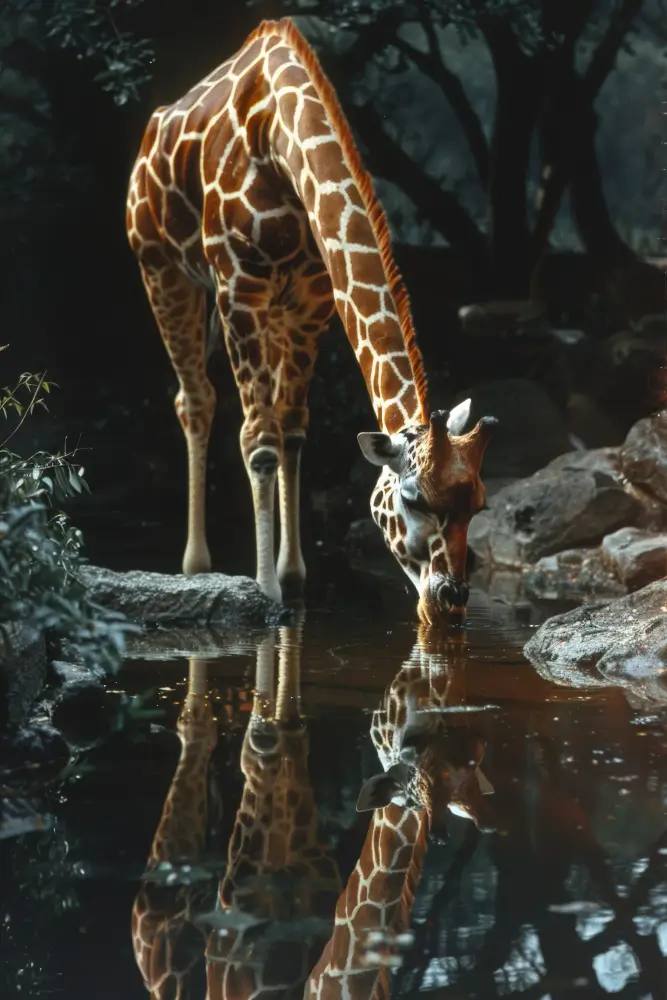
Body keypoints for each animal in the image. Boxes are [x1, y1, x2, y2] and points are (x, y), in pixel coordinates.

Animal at [126, 17, 498, 624]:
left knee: (264, 414)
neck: (280, 142)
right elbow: (258, 438)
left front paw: (292, 578)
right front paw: (264, 592)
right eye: (411, 498)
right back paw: (197, 566)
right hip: (161, 268)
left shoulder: (313, 297)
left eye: (481, 503)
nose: (450, 603)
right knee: (195, 399)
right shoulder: (238, 283)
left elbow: (293, 429)